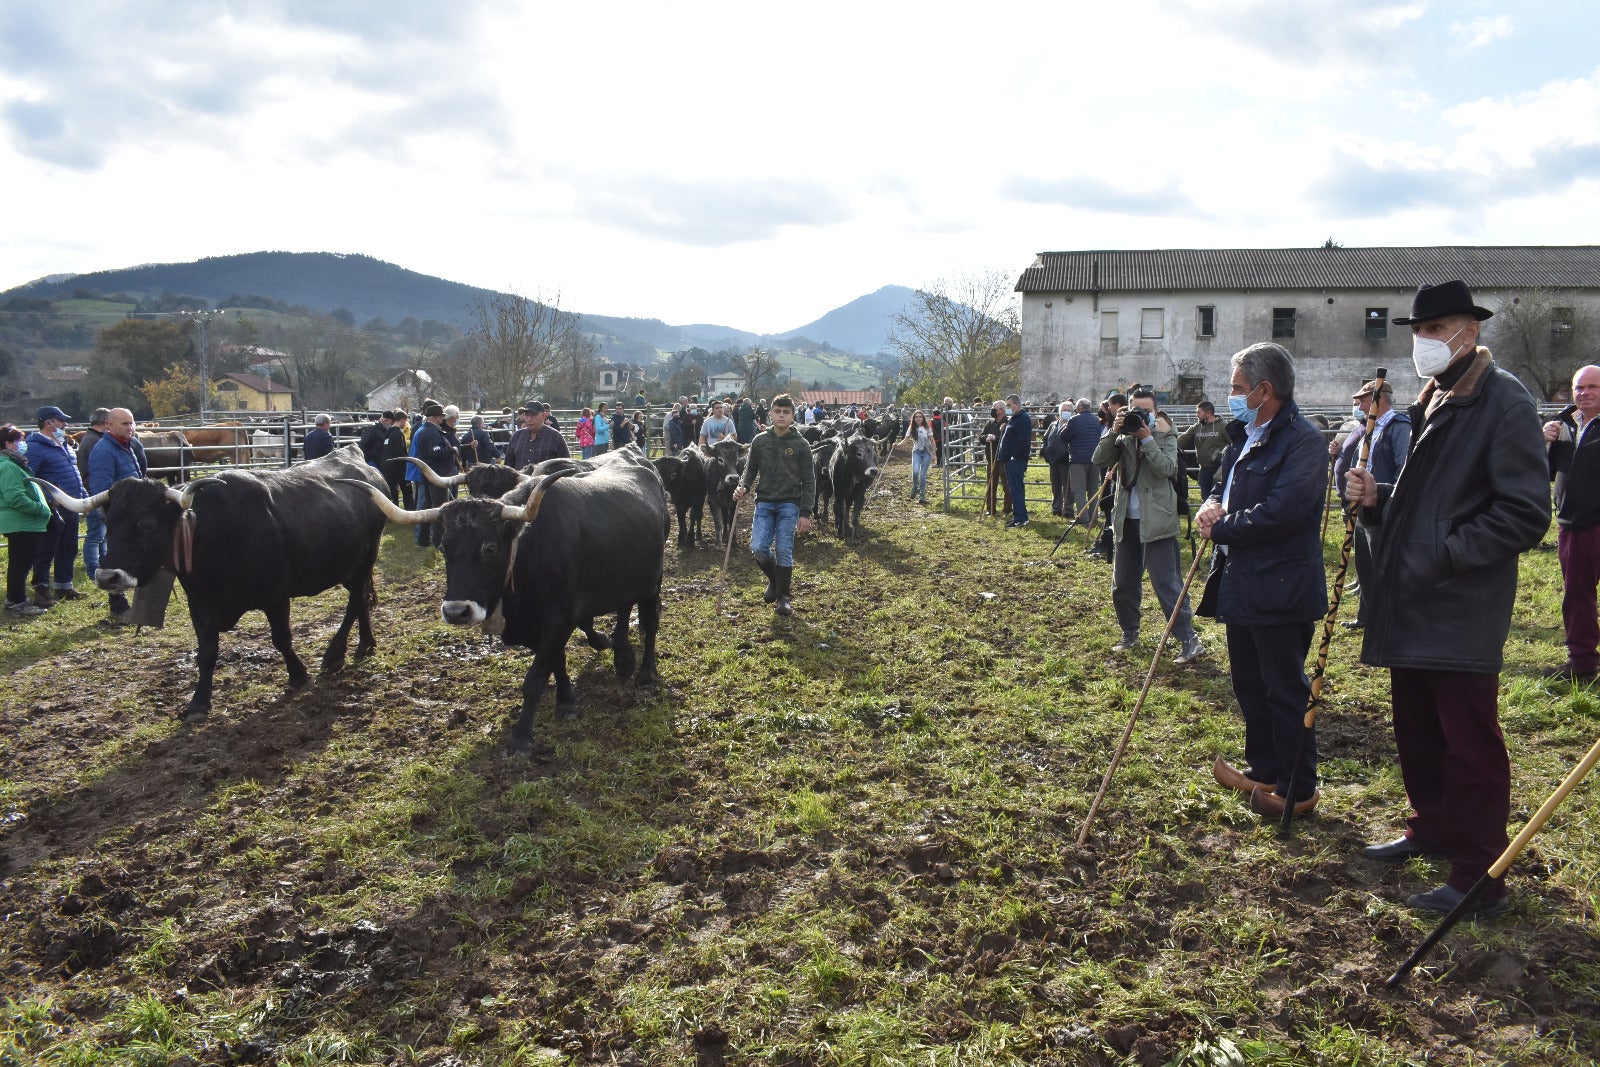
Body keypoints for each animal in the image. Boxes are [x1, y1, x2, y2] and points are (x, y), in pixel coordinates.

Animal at [39, 441, 388, 716]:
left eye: (147, 525)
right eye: (108, 522)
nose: (107, 576)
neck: (212, 534)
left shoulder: (276, 596)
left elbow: (281, 639)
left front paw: (298, 676)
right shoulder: (200, 603)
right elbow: (206, 652)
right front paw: (198, 702)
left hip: (365, 558)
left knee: (355, 600)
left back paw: (336, 652)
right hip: (347, 566)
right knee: (361, 599)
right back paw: (364, 644)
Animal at [352, 441, 668, 751]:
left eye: (490, 548)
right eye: (443, 547)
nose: (456, 612)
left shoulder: (559, 617)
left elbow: (535, 677)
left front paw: (521, 736)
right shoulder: (538, 626)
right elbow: (556, 662)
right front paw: (566, 700)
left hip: (653, 581)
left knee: (650, 621)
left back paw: (645, 672)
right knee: (625, 607)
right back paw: (623, 658)